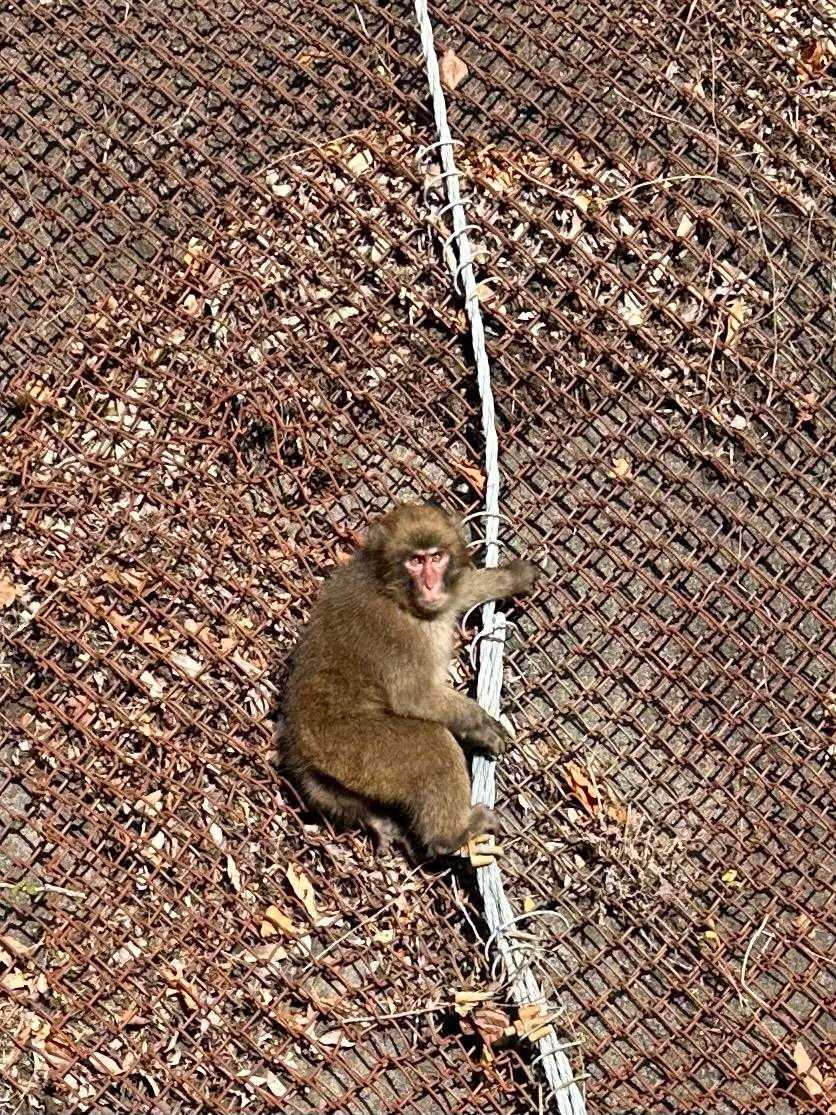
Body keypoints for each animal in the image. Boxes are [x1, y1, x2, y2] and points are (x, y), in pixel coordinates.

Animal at [280, 502, 541, 858]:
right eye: (415, 561)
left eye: (437, 557)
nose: (430, 585)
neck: (395, 594)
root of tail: (300, 749)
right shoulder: (400, 636)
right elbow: (414, 696)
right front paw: (477, 722)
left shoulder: (444, 596)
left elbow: (463, 589)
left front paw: (511, 577)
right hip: (353, 749)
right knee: (433, 747)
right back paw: (451, 835)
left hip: (329, 779)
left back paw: (375, 820)